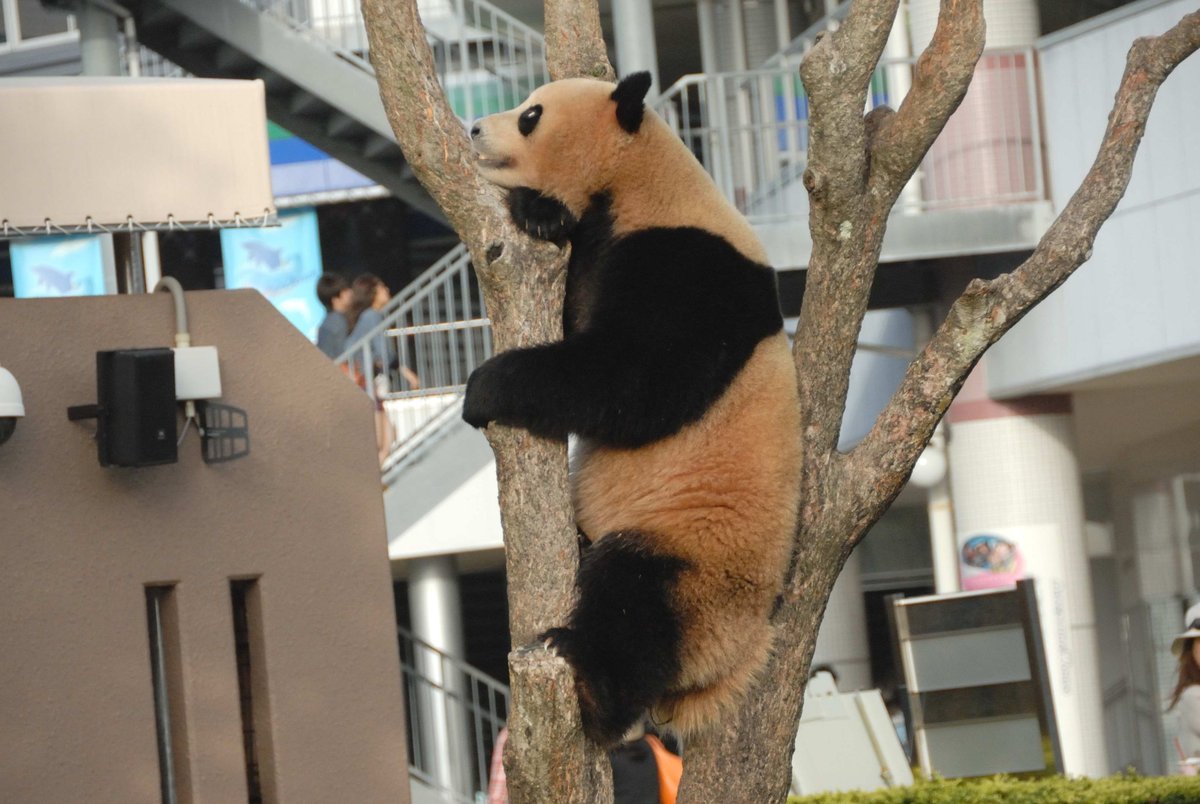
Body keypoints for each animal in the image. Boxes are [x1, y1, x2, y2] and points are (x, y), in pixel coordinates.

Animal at [463, 70, 801, 748]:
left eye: (531, 115)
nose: (476, 128)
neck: (643, 181)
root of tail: (734, 663)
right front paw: (543, 217)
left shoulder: (688, 267)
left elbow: (632, 379)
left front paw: (484, 388)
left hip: (699, 557)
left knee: (635, 603)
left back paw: (593, 687)